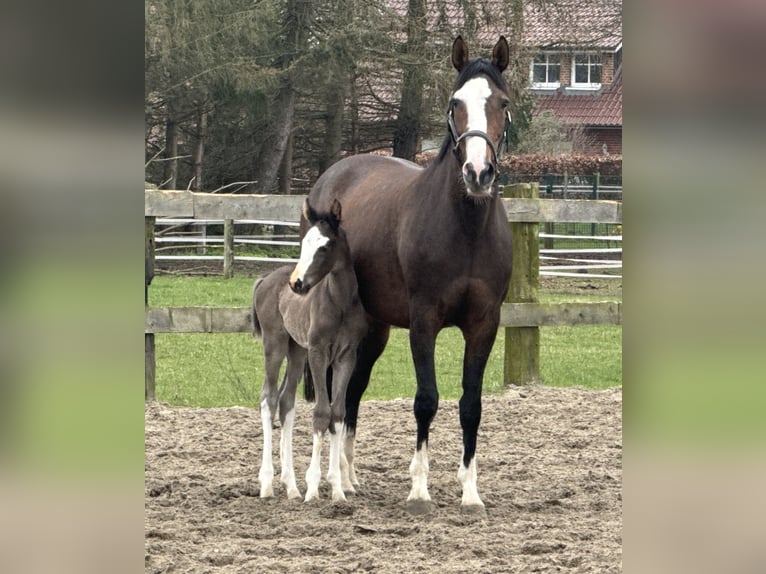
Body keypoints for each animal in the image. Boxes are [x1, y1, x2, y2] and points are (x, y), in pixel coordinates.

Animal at [252, 199, 368, 504]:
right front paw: (314, 488)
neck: (339, 303)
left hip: (296, 350)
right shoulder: (318, 353)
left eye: (325, 246)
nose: (297, 283)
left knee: (286, 401)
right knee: (268, 398)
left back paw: (291, 486)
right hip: (276, 344)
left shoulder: (346, 357)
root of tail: (265, 279)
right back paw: (267, 484)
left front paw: (337, 488)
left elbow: (337, 413)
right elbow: (321, 413)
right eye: (304, 242)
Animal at [304, 37, 512, 512]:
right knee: (339, 394)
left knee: (353, 393)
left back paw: (350, 478)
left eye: (502, 103)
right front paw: (419, 489)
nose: (478, 173)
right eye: (455, 103)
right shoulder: (423, 321)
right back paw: (337, 479)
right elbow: (426, 400)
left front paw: (470, 492)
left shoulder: (485, 324)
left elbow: (471, 405)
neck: (466, 229)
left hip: (373, 329)